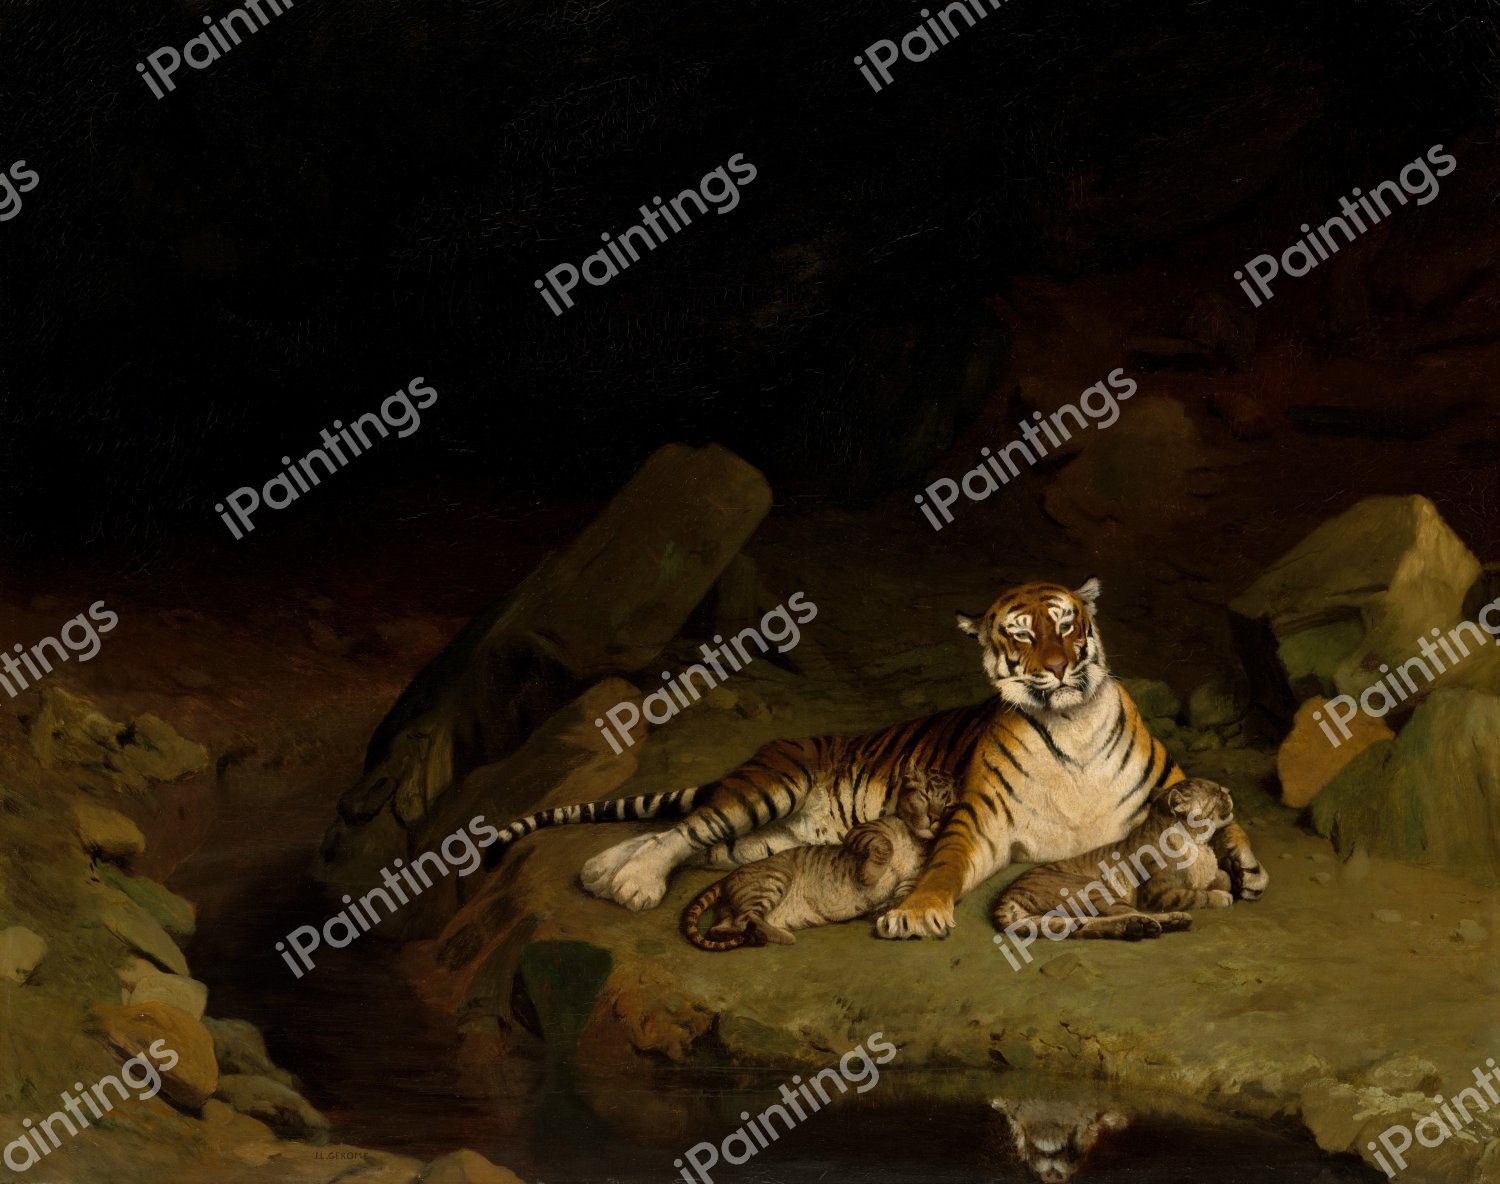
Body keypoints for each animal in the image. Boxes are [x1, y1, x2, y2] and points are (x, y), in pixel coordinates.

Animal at [484, 578, 1269, 939]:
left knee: (686, 840)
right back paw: (630, 883)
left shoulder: (1168, 779)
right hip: (767, 788)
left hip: (763, 838)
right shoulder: (976, 818)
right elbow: (944, 865)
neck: (1069, 723)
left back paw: (603, 872)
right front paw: (915, 913)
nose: (1056, 669)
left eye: (1067, 624)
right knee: (682, 829)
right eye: (1020, 633)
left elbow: (1229, 821)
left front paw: (1247, 871)